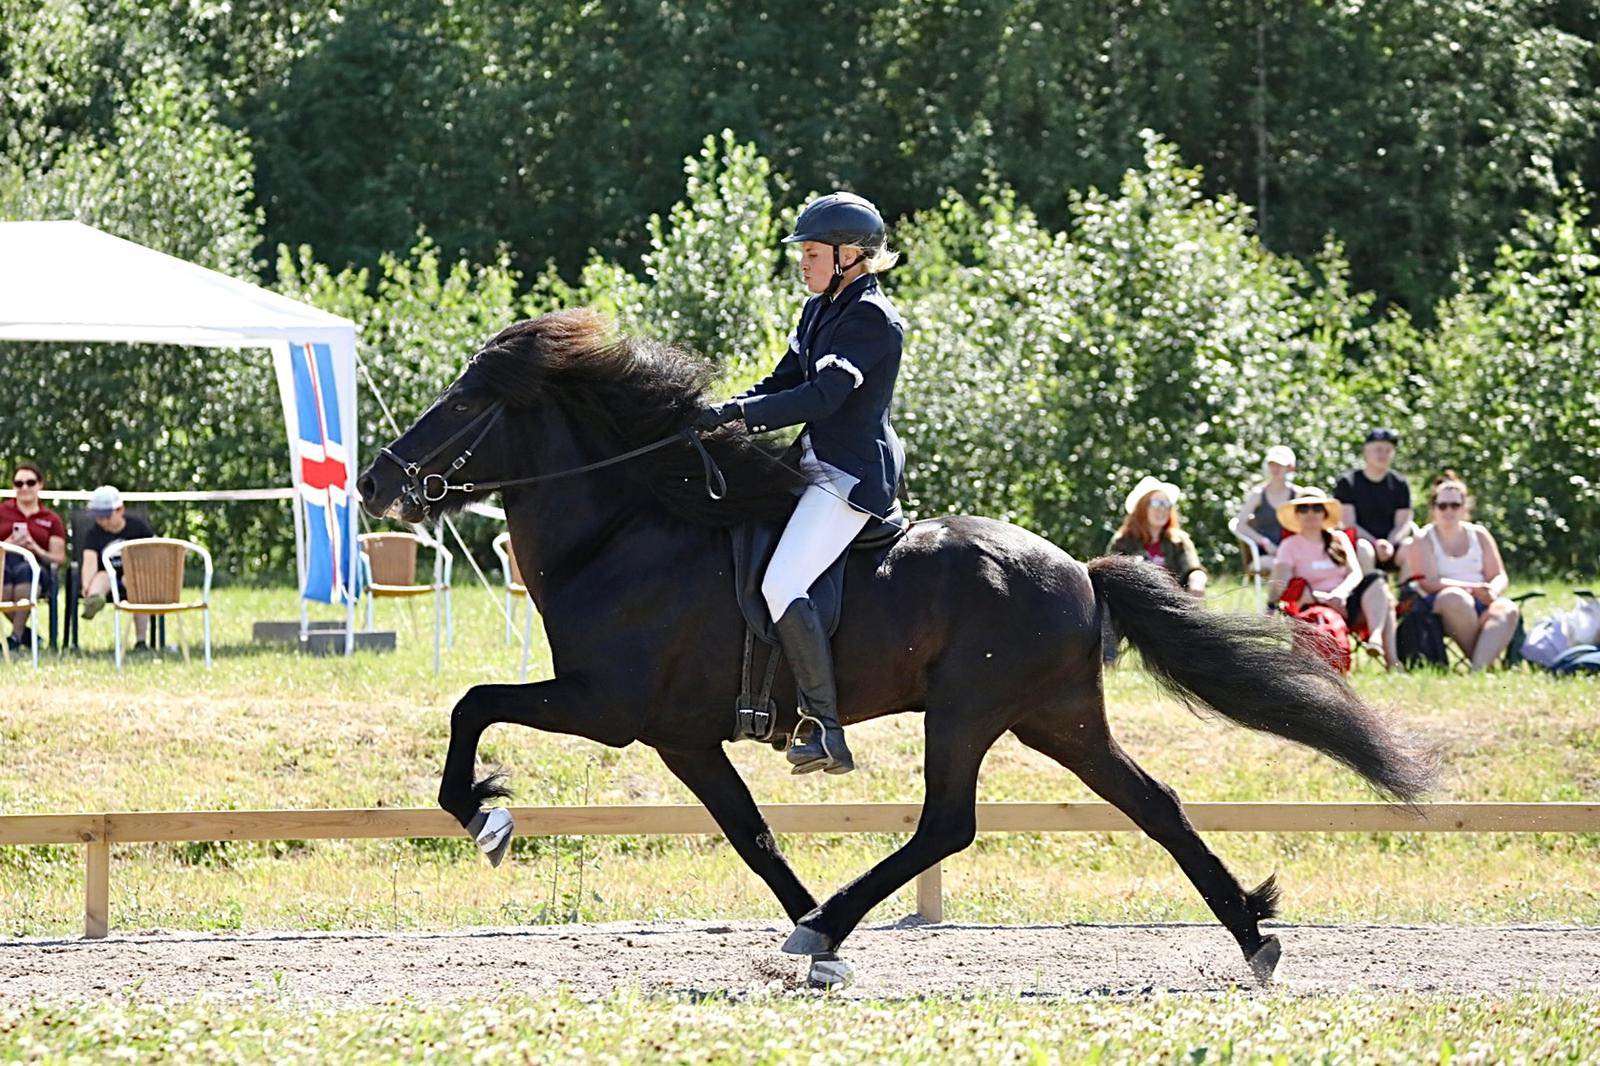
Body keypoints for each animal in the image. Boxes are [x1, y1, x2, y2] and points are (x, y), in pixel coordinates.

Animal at [360, 305, 1440, 979]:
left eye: (466, 402)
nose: (376, 482)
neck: (624, 531)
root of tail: (1078, 572)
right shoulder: (680, 736)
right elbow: (751, 835)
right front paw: (807, 928)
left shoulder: (606, 706)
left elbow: (472, 706)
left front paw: (486, 815)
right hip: (1056, 719)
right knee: (1153, 804)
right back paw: (1253, 935)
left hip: (966, 713)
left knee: (947, 824)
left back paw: (836, 920)